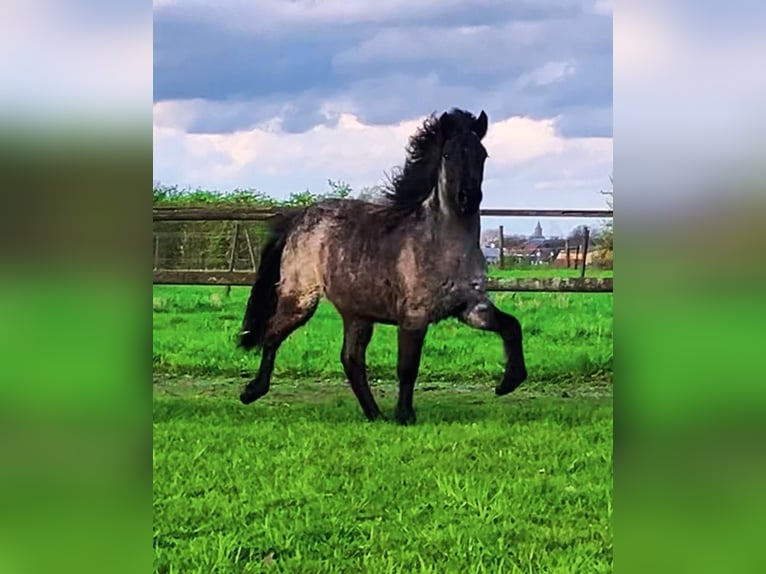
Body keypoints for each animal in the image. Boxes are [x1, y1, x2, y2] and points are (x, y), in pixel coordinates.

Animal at [237, 108, 527, 424]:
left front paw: (509, 383)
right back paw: (251, 392)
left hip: (357, 313)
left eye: (482, 154)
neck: (444, 246)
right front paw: (405, 415)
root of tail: (298, 219)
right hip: (301, 299)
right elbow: (407, 368)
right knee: (273, 335)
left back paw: (375, 414)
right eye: (448, 154)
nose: (468, 198)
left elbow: (511, 326)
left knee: (351, 359)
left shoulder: (470, 306)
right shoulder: (414, 316)